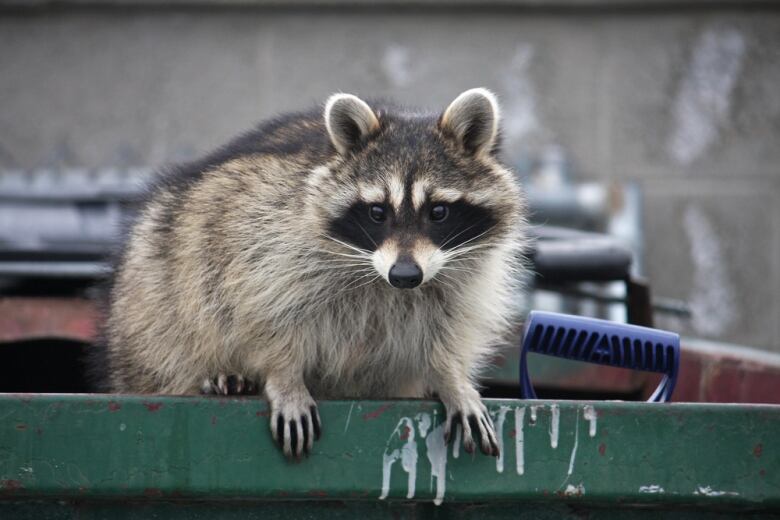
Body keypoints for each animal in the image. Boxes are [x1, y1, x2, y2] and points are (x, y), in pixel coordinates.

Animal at [102, 88, 524, 460]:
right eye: (377, 212)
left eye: (438, 212)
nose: (405, 275)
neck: (379, 278)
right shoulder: (264, 236)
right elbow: (265, 312)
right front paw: (283, 375)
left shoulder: (461, 276)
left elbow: (448, 328)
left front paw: (452, 378)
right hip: (155, 288)